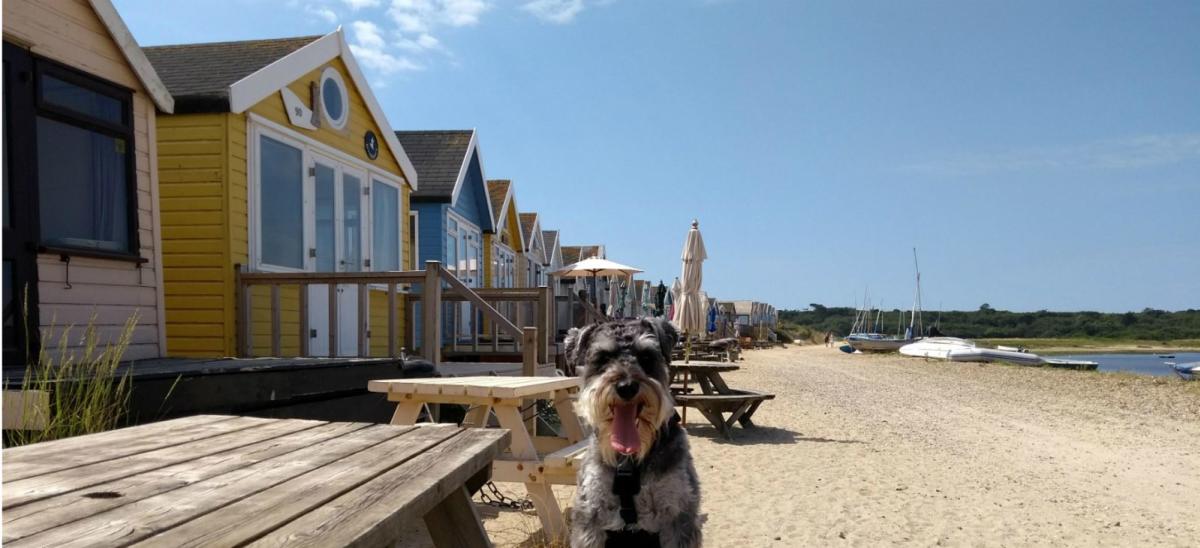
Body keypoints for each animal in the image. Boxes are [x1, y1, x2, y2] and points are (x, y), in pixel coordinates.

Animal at [564, 316, 700, 546]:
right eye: (603, 358)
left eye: (646, 356)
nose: (626, 386)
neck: (629, 460)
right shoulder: (590, 515)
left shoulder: (678, 515)